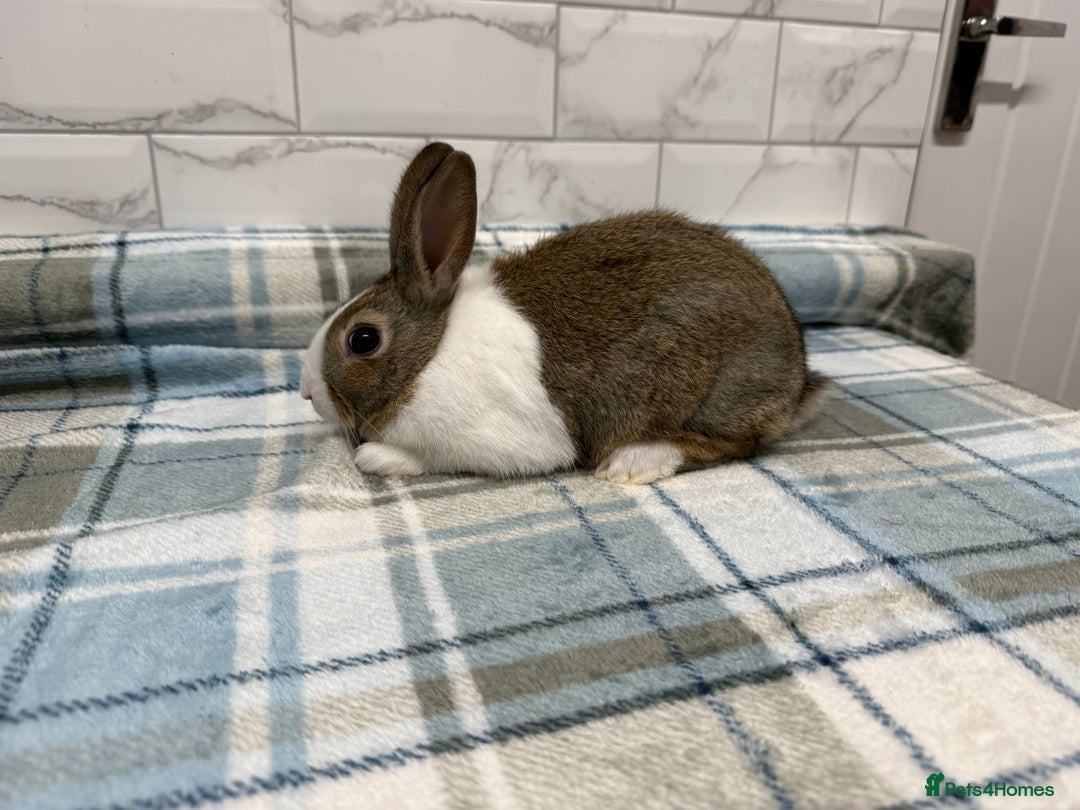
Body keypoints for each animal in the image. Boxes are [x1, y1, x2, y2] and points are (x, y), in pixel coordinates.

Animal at [300, 142, 829, 485]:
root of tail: (798, 381)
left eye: (363, 339)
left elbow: (432, 456)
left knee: (735, 444)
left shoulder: (496, 439)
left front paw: (377, 459)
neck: (429, 354)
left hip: (704, 389)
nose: (306, 392)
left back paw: (634, 462)